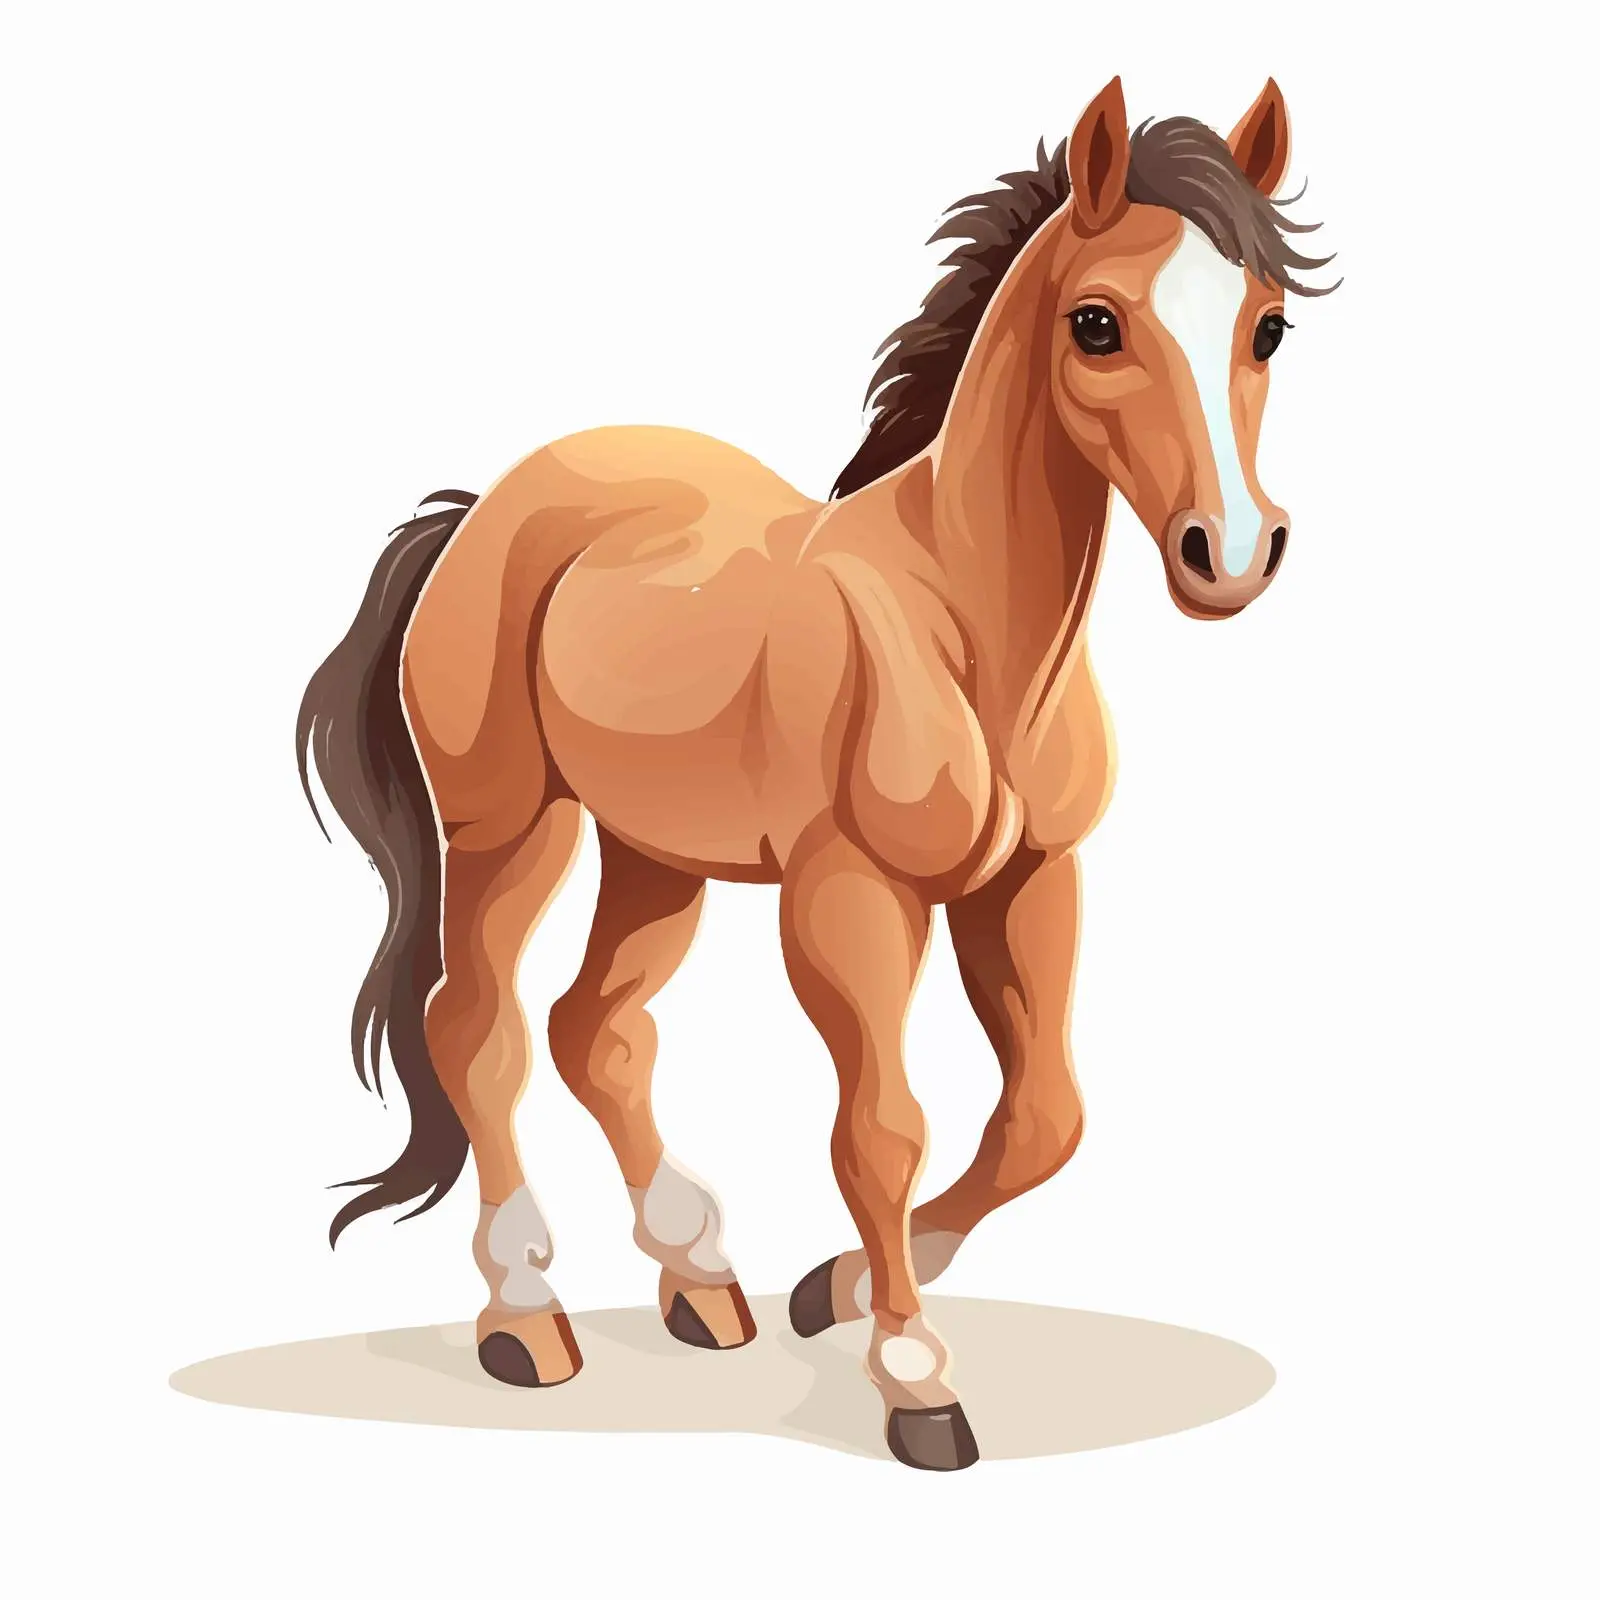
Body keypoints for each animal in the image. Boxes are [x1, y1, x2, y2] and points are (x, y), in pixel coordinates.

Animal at [297, 75, 1334, 1471]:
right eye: (1097, 323)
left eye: (1267, 325)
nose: (1228, 551)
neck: (960, 625)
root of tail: (483, 510)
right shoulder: (849, 897)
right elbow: (882, 1126)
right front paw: (914, 1376)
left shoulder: (1029, 881)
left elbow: (1042, 1115)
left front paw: (830, 1289)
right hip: (511, 826)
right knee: (480, 1027)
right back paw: (525, 1316)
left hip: (655, 852)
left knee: (597, 1028)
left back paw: (702, 1281)